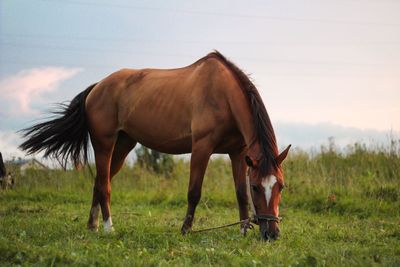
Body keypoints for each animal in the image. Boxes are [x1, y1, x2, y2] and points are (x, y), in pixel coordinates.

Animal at [20, 51, 290, 241]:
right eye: (257, 187)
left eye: (281, 186)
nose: (272, 234)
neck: (223, 94)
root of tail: (97, 87)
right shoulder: (201, 148)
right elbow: (194, 192)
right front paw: (185, 230)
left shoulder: (238, 153)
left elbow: (239, 194)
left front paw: (243, 231)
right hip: (104, 144)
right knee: (104, 185)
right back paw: (108, 228)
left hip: (123, 145)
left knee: (99, 181)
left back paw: (92, 226)